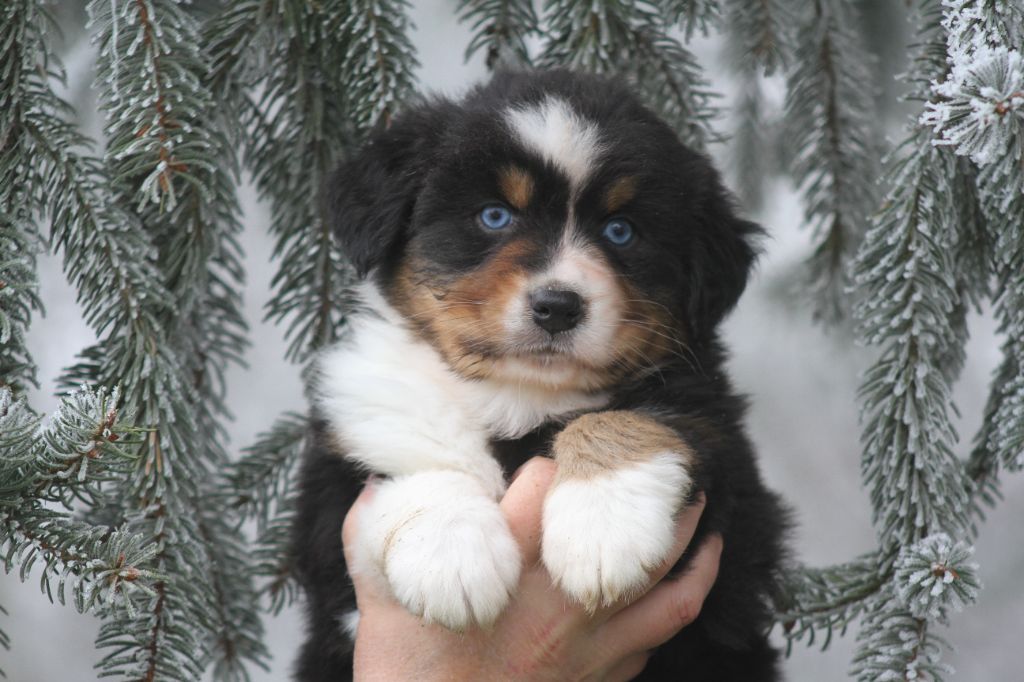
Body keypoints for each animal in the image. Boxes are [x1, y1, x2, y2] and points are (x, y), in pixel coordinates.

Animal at [292, 70, 786, 679]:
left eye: (621, 230)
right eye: (494, 216)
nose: (557, 306)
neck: (516, 394)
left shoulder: (726, 466)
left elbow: (635, 420)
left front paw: (604, 528)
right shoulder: (337, 482)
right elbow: (421, 467)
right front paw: (451, 560)